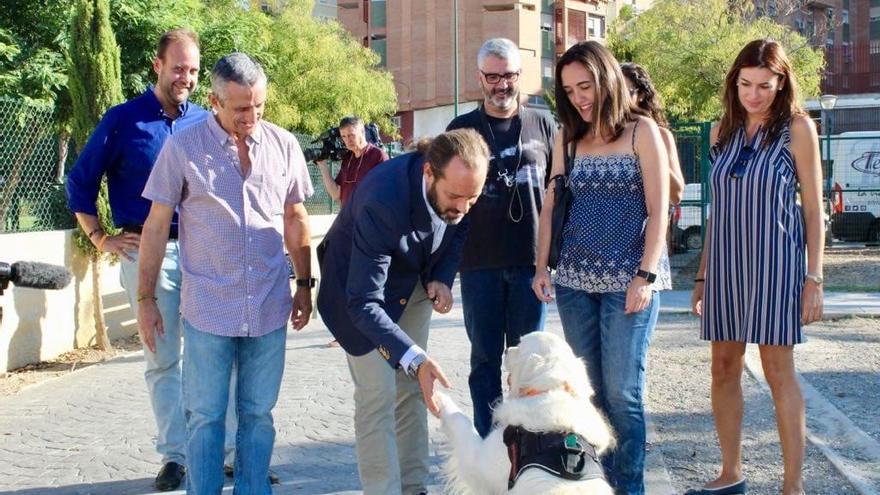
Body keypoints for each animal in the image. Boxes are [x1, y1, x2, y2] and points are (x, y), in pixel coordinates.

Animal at [436, 334, 616, 495]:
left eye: (520, 345)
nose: (506, 350)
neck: (550, 389)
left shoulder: (479, 461)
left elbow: (460, 420)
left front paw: (440, 398)